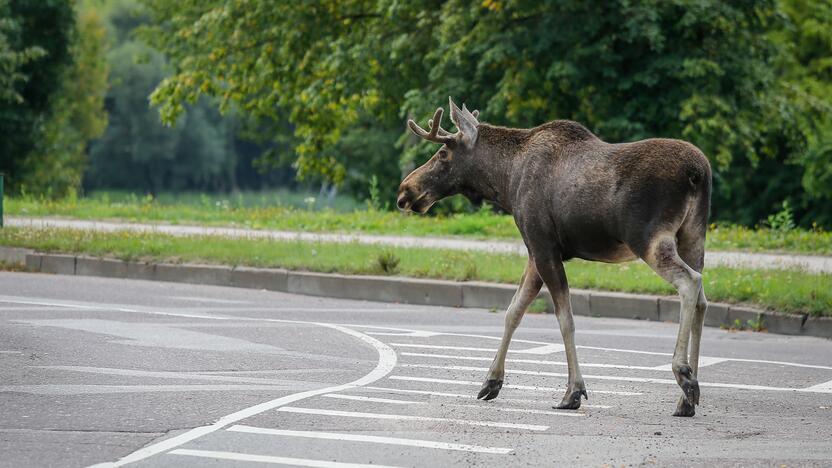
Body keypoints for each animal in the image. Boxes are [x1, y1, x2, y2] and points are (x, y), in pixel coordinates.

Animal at [400, 97, 712, 414]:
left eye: (442, 153)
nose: (406, 190)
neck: (506, 181)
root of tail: (698, 173)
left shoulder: (543, 247)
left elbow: (565, 319)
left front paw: (573, 391)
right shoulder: (535, 252)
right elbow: (513, 311)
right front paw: (491, 382)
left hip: (649, 239)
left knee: (689, 282)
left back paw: (683, 374)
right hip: (693, 236)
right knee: (702, 298)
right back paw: (687, 398)